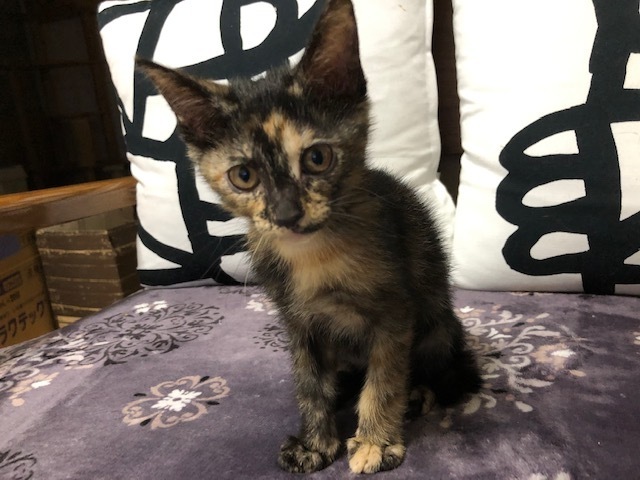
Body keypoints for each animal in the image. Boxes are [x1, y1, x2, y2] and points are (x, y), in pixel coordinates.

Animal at [138, 0, 482, 474]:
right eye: (243, 176)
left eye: (317, 158)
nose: (286, 214)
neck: (317, 254)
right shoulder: (298, 321)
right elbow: (309, 383)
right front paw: (316, 441)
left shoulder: (395, 313)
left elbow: (385, 379)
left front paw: (375, 441)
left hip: (437, 325)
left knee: (445, 375)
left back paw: (417, 395)